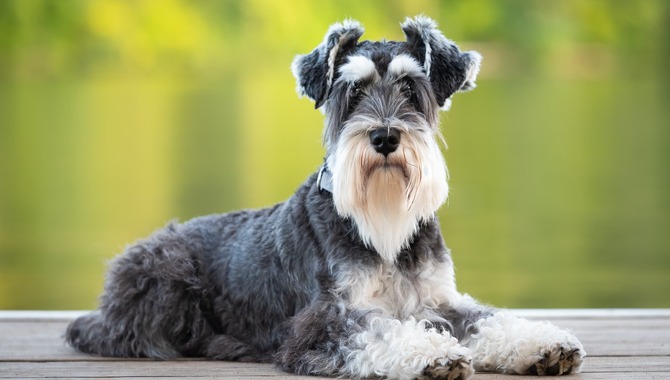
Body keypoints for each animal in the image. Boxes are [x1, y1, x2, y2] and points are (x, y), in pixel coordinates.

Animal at [65, 16, 584, 378]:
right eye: (351, 91)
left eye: (411, 87)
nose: (384, 137)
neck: (382, 227)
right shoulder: (324, 320)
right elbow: (378, 328)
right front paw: (430, 353)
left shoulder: (439, 301)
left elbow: (489, 319)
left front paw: (542, 344)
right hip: (165, 273)